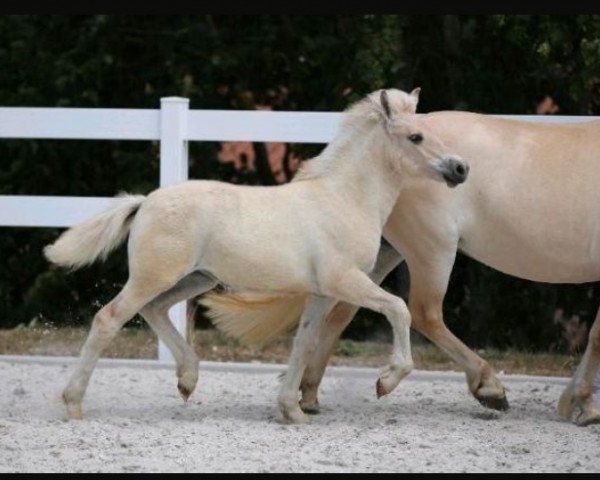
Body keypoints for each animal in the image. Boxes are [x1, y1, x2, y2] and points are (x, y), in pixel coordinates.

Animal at [45, 87, 468, 424]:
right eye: (416, 136)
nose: (460, 168)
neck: (344, 199)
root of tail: (146, 201)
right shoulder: (345, 280)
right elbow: (399, 308)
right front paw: (385, 381)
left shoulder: (322, 292)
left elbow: (304, 343)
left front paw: (291, 410)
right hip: (154, 276)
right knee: (109, 318)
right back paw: (74, 404)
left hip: (196, 278)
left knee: (155, 310)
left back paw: (187, 380)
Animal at [204, 91, 600, 428]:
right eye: (415, 137)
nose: (461, 169)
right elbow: (597, 335)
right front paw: (583, 405)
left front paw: (576, 403)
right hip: (432, 250)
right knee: (424, 313)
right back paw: (487, 387)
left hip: (379, 256)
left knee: (339, 314)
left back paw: (309, 395)